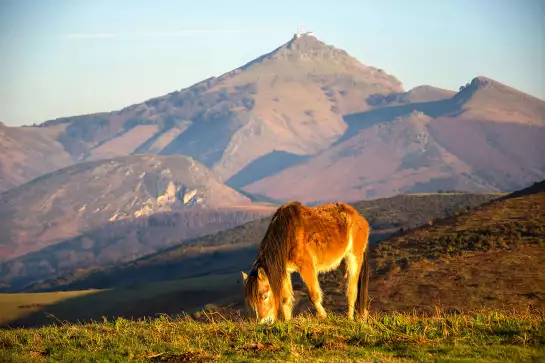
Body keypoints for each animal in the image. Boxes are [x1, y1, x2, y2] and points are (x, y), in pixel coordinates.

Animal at [241, 202, 370, 324]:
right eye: (250, 301)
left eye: (265, 296)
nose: (263, 322)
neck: (287, 236)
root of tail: (360, 218)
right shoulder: (285, 272)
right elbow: (285, 299)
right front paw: (288, 322)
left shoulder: (306, 267)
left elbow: (313, 295)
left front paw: (322, 316)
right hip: (343, 263)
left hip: (353, 257)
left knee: (352, 291)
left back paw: (350, 319)